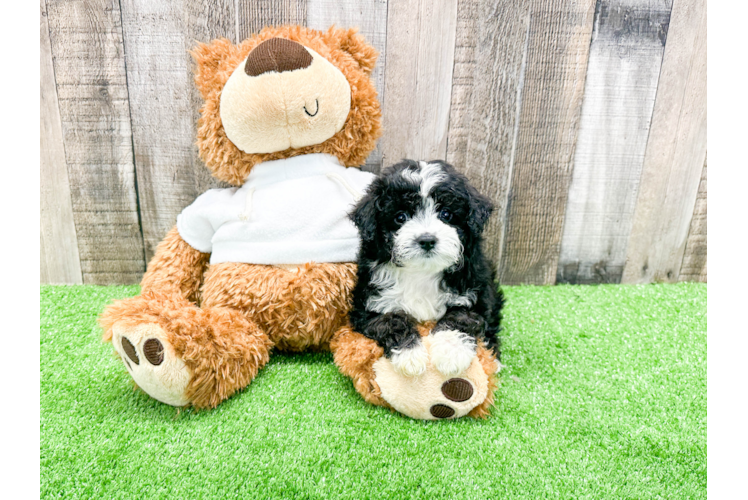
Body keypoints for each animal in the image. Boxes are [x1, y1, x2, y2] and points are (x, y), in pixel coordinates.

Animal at [350, 162, 502, 376]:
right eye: (400, 217)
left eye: (446, 214)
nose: (427, 240)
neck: (421, 272)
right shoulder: (370, 305)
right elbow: (391, 321)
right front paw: (411, 356)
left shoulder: (473, 294)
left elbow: (462, 317)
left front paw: (450, 354)